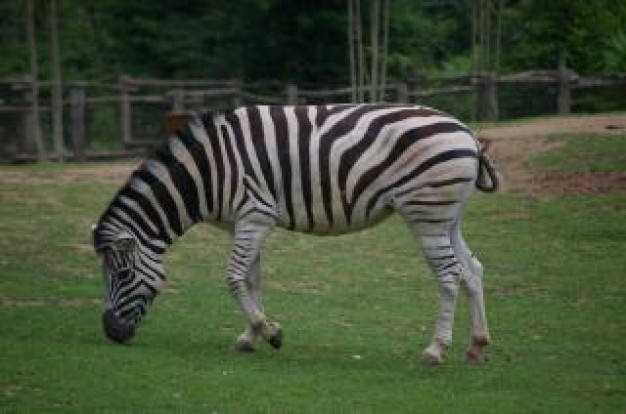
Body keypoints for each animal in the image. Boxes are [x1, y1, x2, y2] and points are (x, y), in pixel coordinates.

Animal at [91, 104, 498, 366]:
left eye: (122, 273)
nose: (110, 332)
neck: (207, 172)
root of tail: (467, 132)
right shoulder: (247, 222)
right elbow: (251, 280)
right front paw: (251, 336)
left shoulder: (255, 214)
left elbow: (234, 278)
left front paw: (270, 333)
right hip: (447, 218)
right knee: (472, 270)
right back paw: (477, 347)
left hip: (426, 214)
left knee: (449, 276)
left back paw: (435, 351)